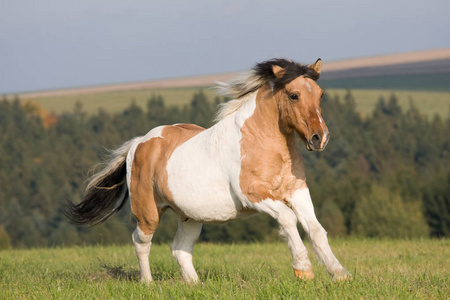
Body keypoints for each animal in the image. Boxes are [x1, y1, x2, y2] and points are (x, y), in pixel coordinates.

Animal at [67, 58, 352, 284]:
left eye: (320, 94)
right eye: (294, 95)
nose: (320, 138)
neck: (264, 143)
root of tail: (139, 143)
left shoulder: (297, 191)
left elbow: (316, 229)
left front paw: (340, 274)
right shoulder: (254, 195)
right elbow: (288, 219)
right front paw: (303, 270)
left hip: (190, 216)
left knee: (179, 248)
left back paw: (195, 285)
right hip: (148, 212)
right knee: (141, 242)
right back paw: (147, 284)